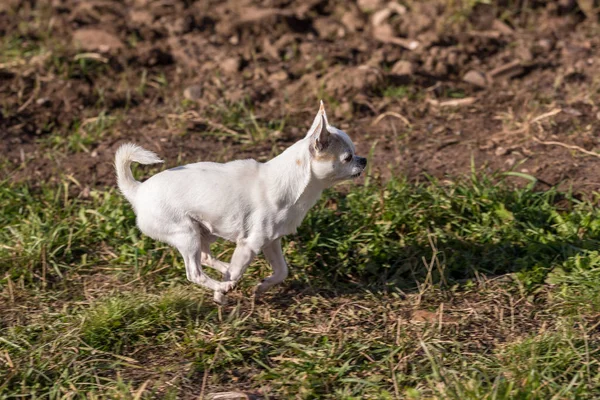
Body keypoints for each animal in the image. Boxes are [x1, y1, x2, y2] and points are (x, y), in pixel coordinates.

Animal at [113, 102, 366, 304]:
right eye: (347, 158)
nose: (364, 159)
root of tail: (138, 191)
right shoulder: (249, 245)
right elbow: (239, 270)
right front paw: (221, 295)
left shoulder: (271, 242)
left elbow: (282, 271)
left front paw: (261, 287)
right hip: (185, 233)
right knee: (195, 272)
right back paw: (222, 284)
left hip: (204, 231)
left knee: (205, 257)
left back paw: (224, 272)